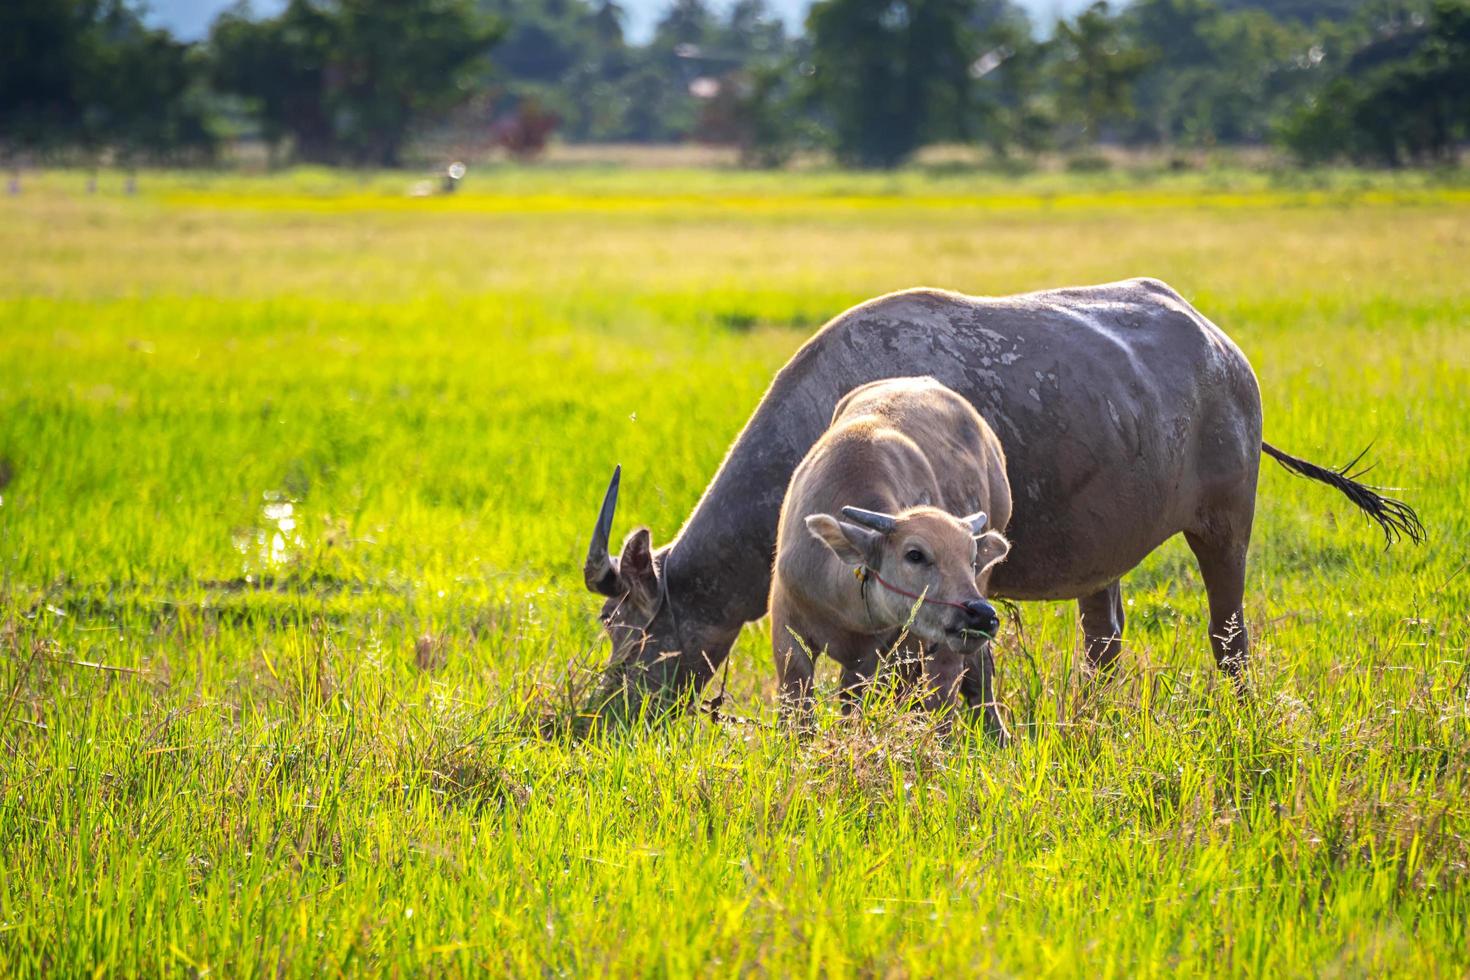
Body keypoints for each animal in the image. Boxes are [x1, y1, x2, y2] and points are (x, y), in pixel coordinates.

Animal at [585, 279, 1422, 717]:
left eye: (631, 634)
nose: (600, 715)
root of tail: (1221, 346)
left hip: (1225, 524)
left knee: (1229, 635)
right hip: (1106, 564)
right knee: (1104, 639)